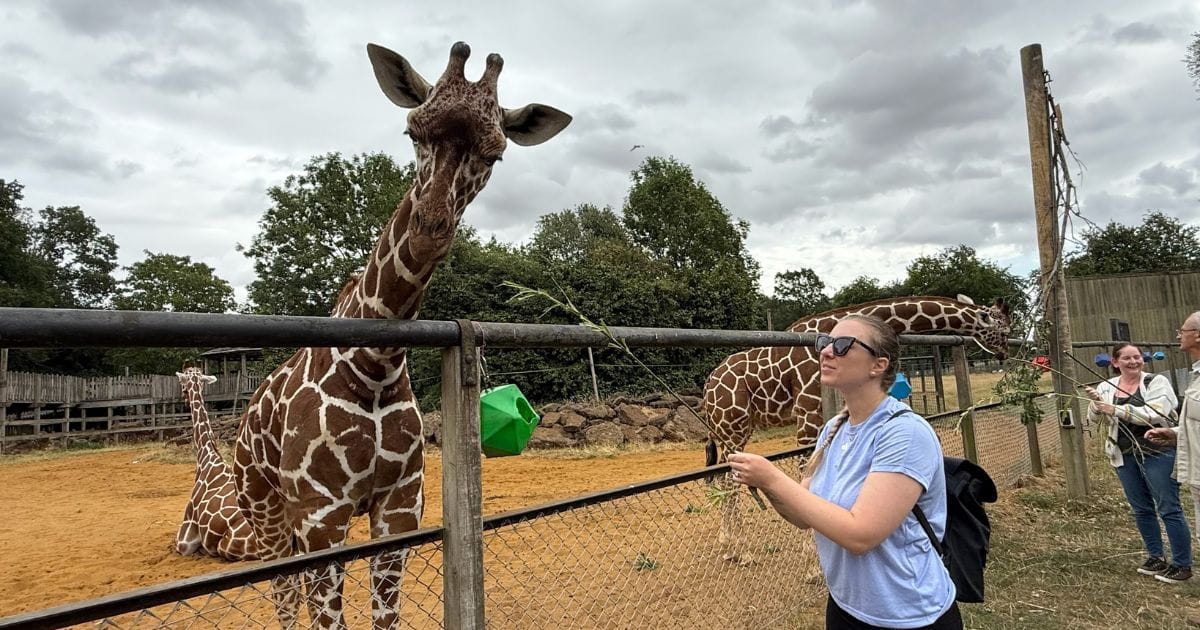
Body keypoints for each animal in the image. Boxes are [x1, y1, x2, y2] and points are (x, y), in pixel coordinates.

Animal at [232, 42, 571, 630]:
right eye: (412, 130)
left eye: (496, 155)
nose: (429, 229)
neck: (373, 365)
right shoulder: (321, 514)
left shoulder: (399, 509)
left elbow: (384, 618)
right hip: (266, 508)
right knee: (282, 593)